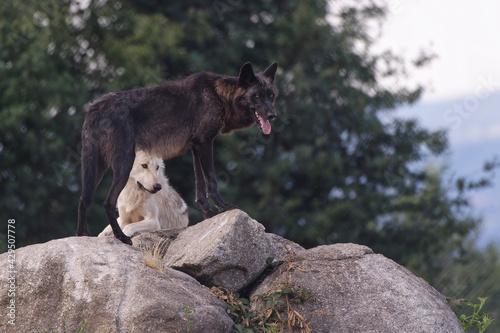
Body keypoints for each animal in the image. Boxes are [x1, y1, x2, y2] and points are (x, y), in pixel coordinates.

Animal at [77, 63, 278, 244]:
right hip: (124, 165)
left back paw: (82, 235)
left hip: (95, 168)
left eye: (271, 96)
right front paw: (224, 207)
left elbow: (200, 186)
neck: (218, 95)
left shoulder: (195, 146)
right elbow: (212, 181)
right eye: (257, 96)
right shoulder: (205, 143)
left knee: (83, 199)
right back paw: (122, 237)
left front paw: (209, 214)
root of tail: (94, 108)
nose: (273, 115)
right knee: (107, 202)